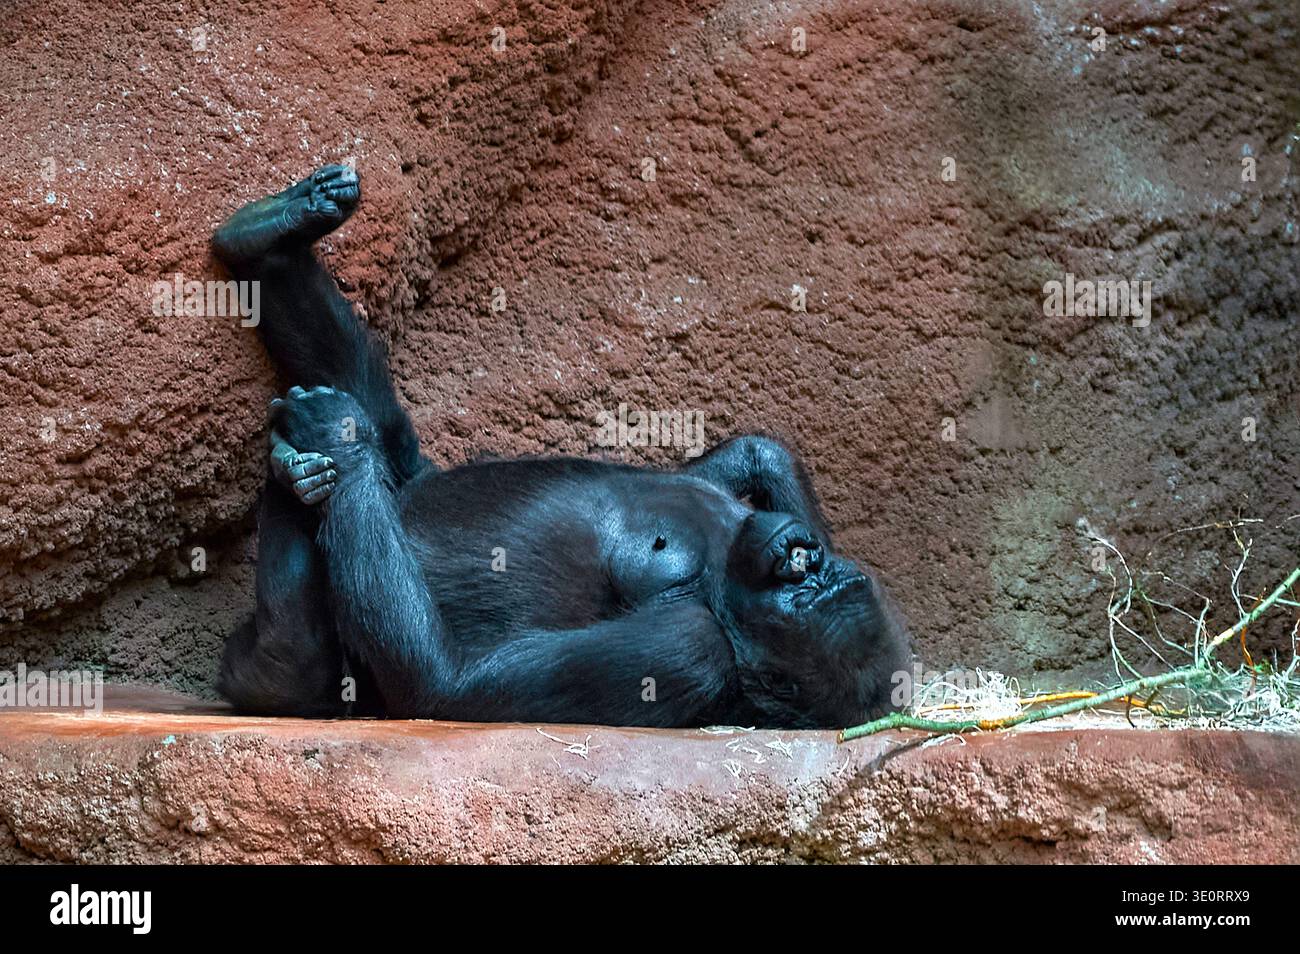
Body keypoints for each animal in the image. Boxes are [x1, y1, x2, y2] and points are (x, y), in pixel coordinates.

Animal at [211, 164, 910, 728]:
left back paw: (297, 482)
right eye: (815, 573)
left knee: (295, 653)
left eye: (805, 594)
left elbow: (444, 681)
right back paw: (271, 233)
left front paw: (336, 434)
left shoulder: (692, 650)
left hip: (291, 667)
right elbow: (758, 457)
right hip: (415, 470)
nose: (801, 555)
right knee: (380, 422)